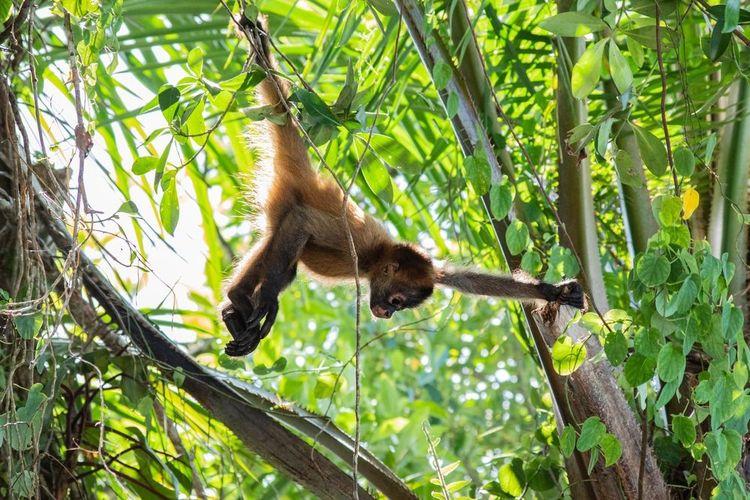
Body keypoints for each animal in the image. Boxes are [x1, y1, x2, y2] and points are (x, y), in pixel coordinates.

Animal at [220, 17, 585, 356]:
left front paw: (552, 291)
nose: (387, 313)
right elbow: (305, 220)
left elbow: (467, 280)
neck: (378, 257)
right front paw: (267, 302)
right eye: (396, 300)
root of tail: (308, 176)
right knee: (288, 245)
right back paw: (243, 299)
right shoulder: (359, 245)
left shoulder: (433, 271)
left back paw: (232, 310)